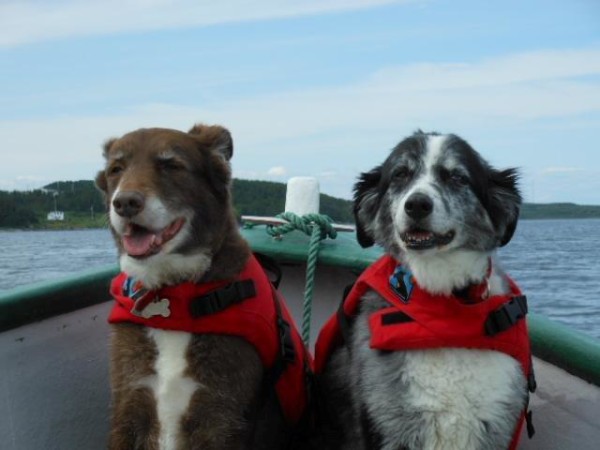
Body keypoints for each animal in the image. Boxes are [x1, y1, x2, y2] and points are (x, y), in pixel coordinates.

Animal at [96, 124, 312, 450]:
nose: (124, 203)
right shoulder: (129, 404)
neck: (174, 291)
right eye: (116, 169)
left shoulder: (221, 416)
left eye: (172, 165)